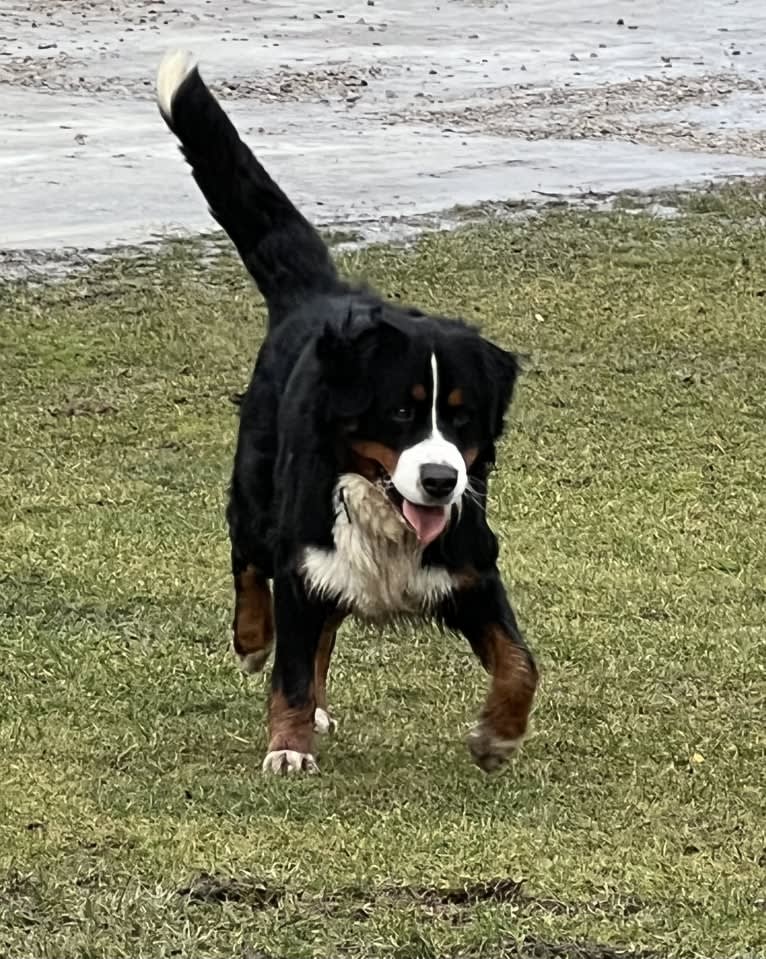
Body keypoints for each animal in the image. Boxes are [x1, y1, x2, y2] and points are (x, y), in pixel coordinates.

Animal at [156, 48, 540, 776]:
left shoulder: (471, 568)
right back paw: (252, 639)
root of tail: (321, 293)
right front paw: (287, 746)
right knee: (247, 561)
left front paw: (498, 735)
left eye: (462, 419)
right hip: (262, 497)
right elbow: (290, 672)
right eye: (401, 413)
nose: (441, 480)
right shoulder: (302, 559)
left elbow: (520, 663)